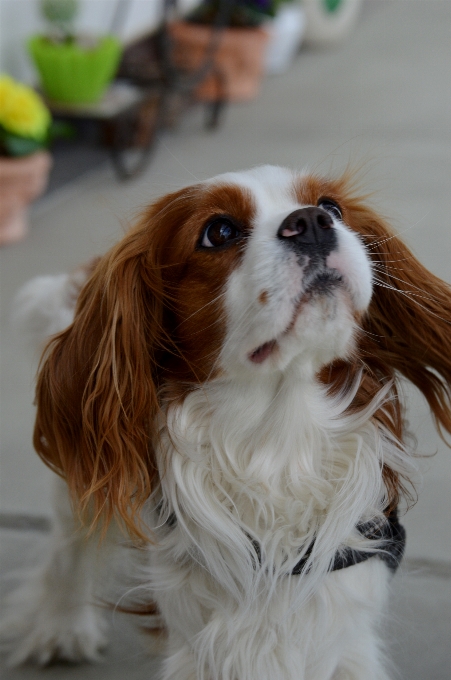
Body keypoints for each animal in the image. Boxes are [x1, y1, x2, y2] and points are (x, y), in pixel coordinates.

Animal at [3, 166, 451, 680]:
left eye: (332, 207)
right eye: (218, 232)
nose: (313, 221)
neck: (278, 443)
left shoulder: (343, 629)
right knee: (69, 545)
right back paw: (63, 626)